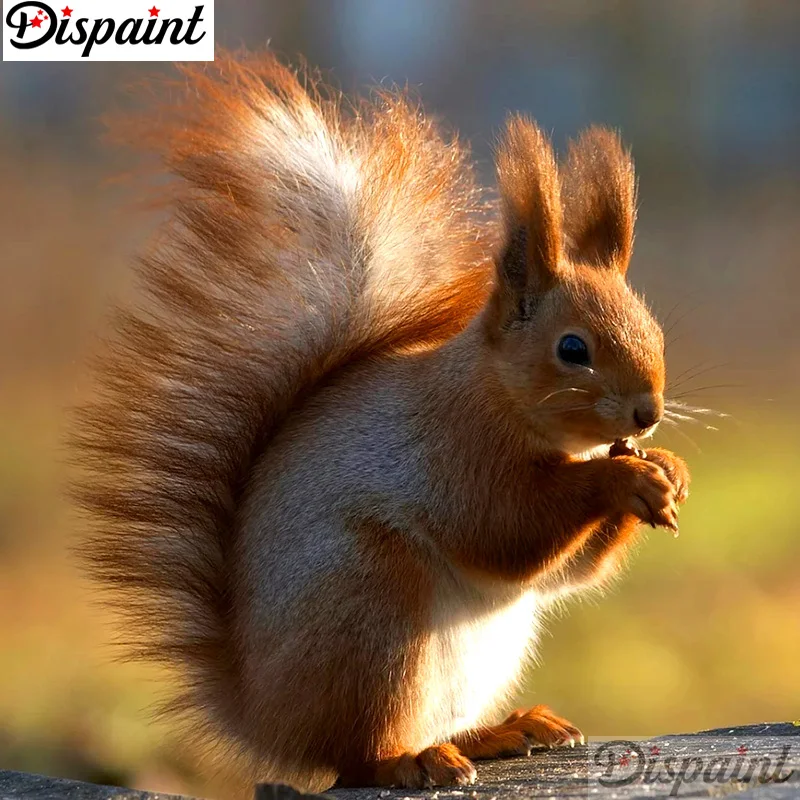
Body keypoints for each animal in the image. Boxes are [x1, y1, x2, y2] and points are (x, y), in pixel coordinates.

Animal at [72, 52, 691, 793]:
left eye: (654, 328)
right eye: (573, 349)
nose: (647, 413)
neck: (493, 394)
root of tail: (265, 716)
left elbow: (567, 574)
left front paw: (669, 470)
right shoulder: (453, 450)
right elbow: (507, 529)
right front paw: (623, 480)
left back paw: (500, 732)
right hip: (373, 606)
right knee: (357, 755)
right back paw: (411, 759)